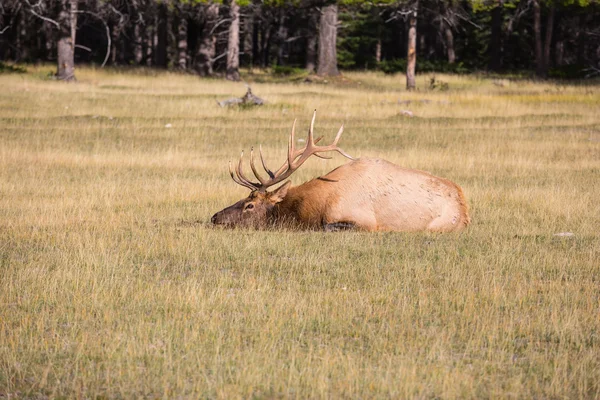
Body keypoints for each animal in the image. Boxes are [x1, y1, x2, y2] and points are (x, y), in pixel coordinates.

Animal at [211, 111, 468, 233]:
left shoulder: (363, 221)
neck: (317, 204)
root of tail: (464, 205)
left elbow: (326, 226)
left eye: (249, 205)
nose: (214, 217)